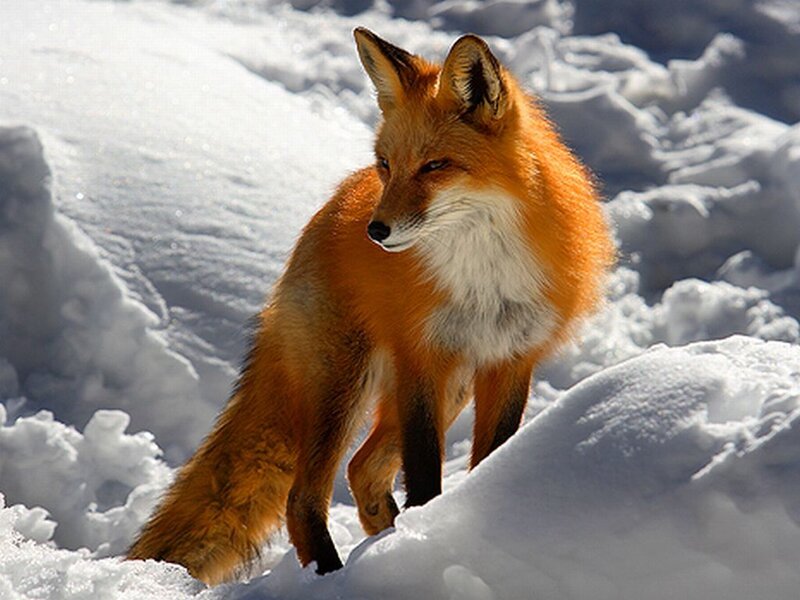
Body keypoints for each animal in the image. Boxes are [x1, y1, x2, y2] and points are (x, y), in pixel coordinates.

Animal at [127, 28, 615, 584]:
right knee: (304, 498)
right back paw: (335, 575)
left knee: (361, 470)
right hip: (344, 384)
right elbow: (424, 475)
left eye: (434, 166)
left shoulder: (511, 358)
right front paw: (426, 539)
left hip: (449, 386)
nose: (376, 232)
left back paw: (380, 543)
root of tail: (325, 215)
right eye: (388, 164)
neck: (482, 272)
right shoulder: (421, 356)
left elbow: (491, 456)